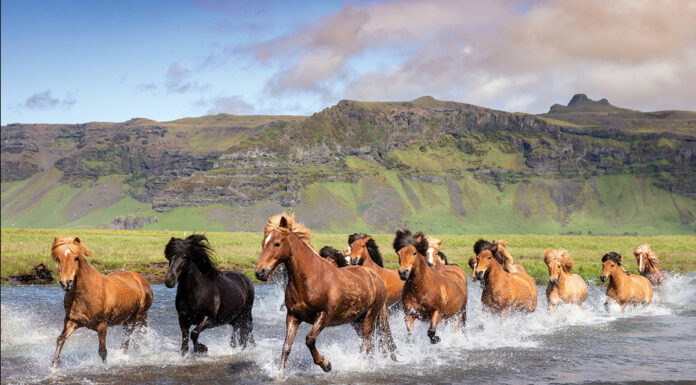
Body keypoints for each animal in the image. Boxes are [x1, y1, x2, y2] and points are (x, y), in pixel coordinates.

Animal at [51, 236, 154, 368]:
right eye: (58, 259)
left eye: (76, 258)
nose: (66, 283)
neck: (84, 294)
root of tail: (142, 279)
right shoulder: (72, 321)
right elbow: (60, 340)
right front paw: (54, 367)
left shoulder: (102, 325)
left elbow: (102, 351)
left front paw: (105, 367)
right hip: (127, 320)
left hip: (136, 317)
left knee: (128, 341)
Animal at [256, 212, 396, 374]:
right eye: (263, 243)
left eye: (277, 243)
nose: (260, 272)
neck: (310, 279)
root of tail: (375, 276)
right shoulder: (292, 316)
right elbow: (286, 346)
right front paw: (280, 373)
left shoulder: (324, 314)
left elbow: (310, 339)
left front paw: (325, 364)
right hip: (357, 321)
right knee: (370, 344)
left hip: (369, 317)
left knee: (366, 343)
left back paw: (360, 365)